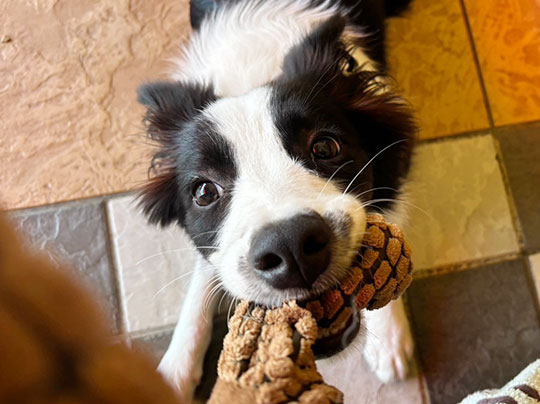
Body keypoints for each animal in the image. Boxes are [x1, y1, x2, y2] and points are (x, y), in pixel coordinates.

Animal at [137, 0, 416, 400]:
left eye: (325, 147)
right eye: (204, 192)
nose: (291, 248)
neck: (253, 70)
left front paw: (390, 339)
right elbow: (204, 272)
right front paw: (176, 367)